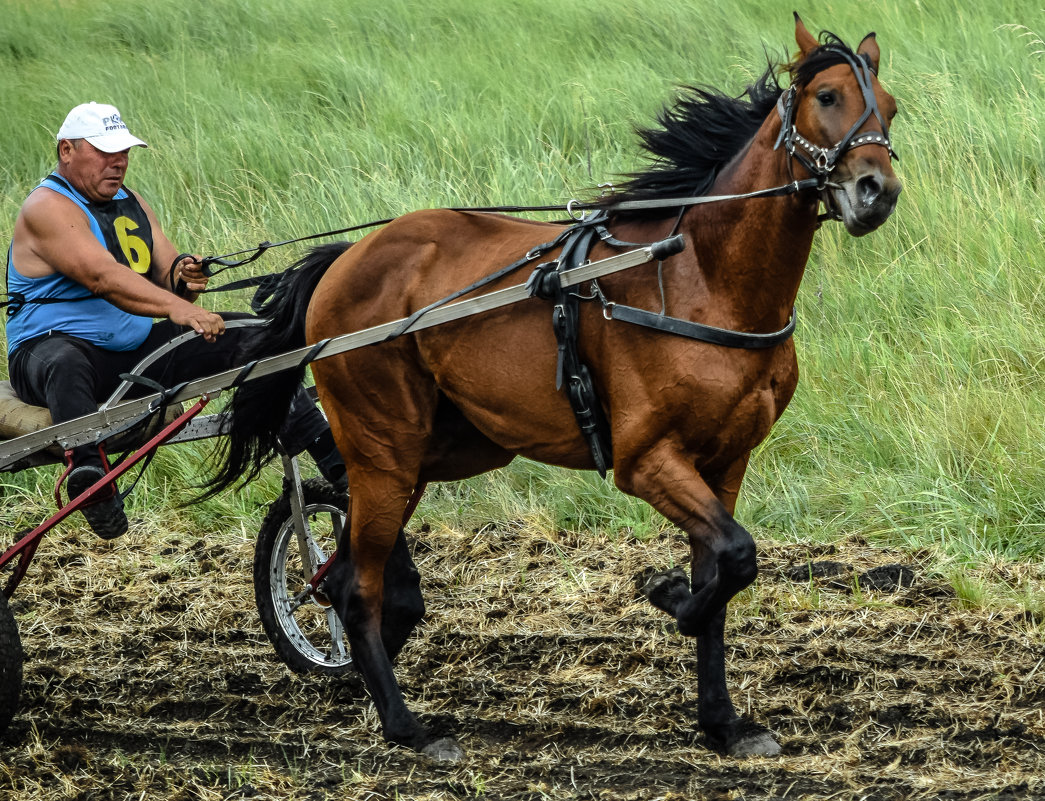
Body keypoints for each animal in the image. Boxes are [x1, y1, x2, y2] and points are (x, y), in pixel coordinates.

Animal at [210, 15, 898, 760]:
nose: (876, 190)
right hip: (384, 445)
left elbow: (724, 571)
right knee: (353, 585)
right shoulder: (644, 459)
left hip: (440, 448)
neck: (701, 277)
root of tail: (345, 259)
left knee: (347, 573)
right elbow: (733, 560)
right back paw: (407, 727)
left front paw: (722, 721)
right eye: (827, 96)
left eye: (890, 108)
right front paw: (668, 596)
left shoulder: (725, 461)